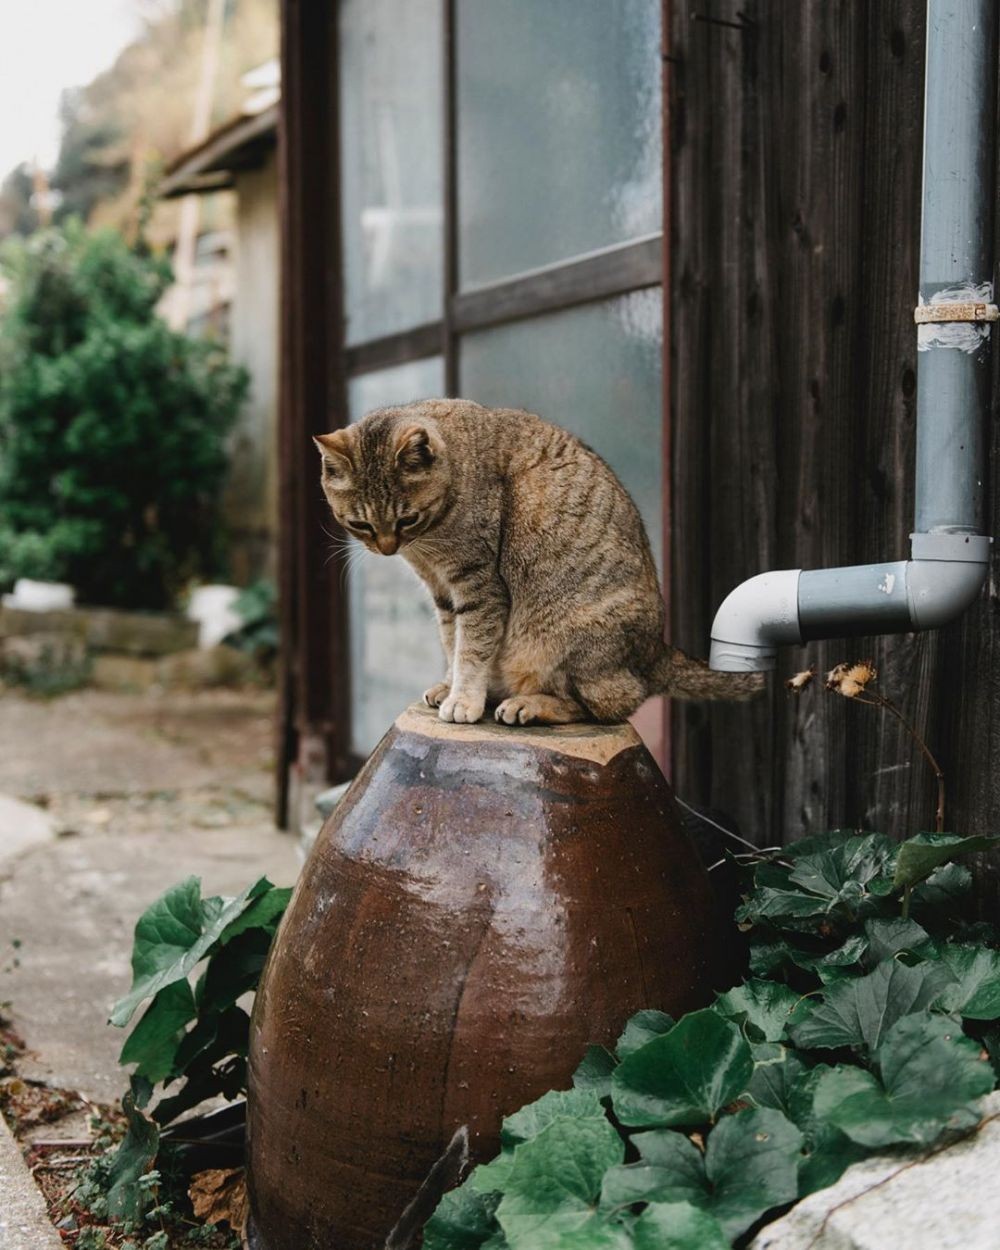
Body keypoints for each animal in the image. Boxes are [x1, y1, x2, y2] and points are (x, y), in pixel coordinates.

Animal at [316, 400, 760, 730]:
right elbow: (451, 641)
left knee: (606, 707)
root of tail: (657, 651)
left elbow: (471, 648)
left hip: (570, 641)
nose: (387, 548)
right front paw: (450, 685)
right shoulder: (442, 592)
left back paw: (529, 705)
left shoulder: (480, 585)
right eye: (360, 524)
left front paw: (463, 698)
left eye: (407, 519)